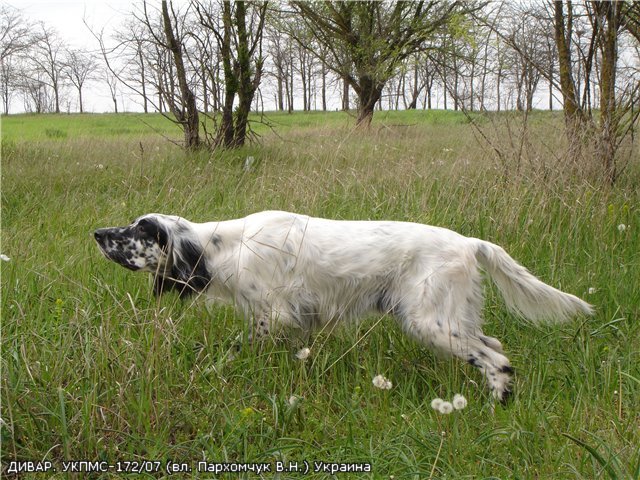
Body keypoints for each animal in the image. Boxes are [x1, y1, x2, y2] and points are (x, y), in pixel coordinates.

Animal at [92, 212, 592, 404]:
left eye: (139, 230)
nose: (97, 233)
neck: (226, 248)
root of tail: (470, 242)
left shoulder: (271, 315)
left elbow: (235, 349)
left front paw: (212, 373)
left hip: (432, 322)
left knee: (498, 361)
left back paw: (497, 404)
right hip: (453, 317)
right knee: (495, 345)